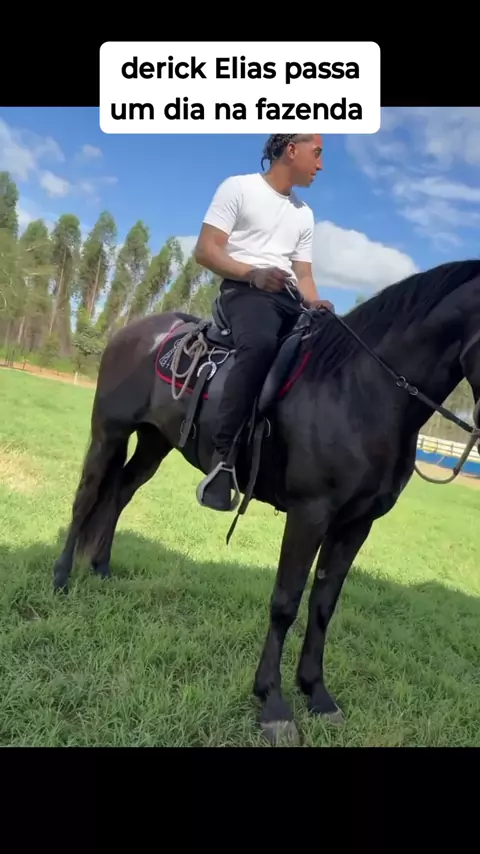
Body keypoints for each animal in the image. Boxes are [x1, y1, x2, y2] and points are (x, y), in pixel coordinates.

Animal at [52, 259, 480, 746]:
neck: (360, 390)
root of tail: (135, 331)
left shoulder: (356, 524)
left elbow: (323, 605)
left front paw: (317, 695)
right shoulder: (310, 513)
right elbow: (285, 603)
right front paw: (273, 704)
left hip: (154, 443)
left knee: (120, 493)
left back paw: (101, 569)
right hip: (110, 432)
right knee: (87, 496)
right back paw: (62, 577)